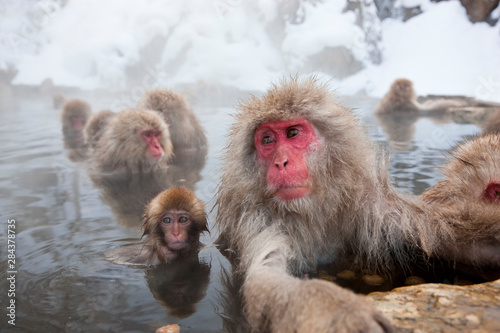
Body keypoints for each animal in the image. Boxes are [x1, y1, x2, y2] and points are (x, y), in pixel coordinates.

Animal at [215, 76, 500, 330]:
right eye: (267, 140)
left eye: (292, 133)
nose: (279, 162)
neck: (313, 213)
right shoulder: (259, 220)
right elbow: (265, 275)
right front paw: (336, 311)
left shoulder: (375, 211)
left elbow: (445, 239)